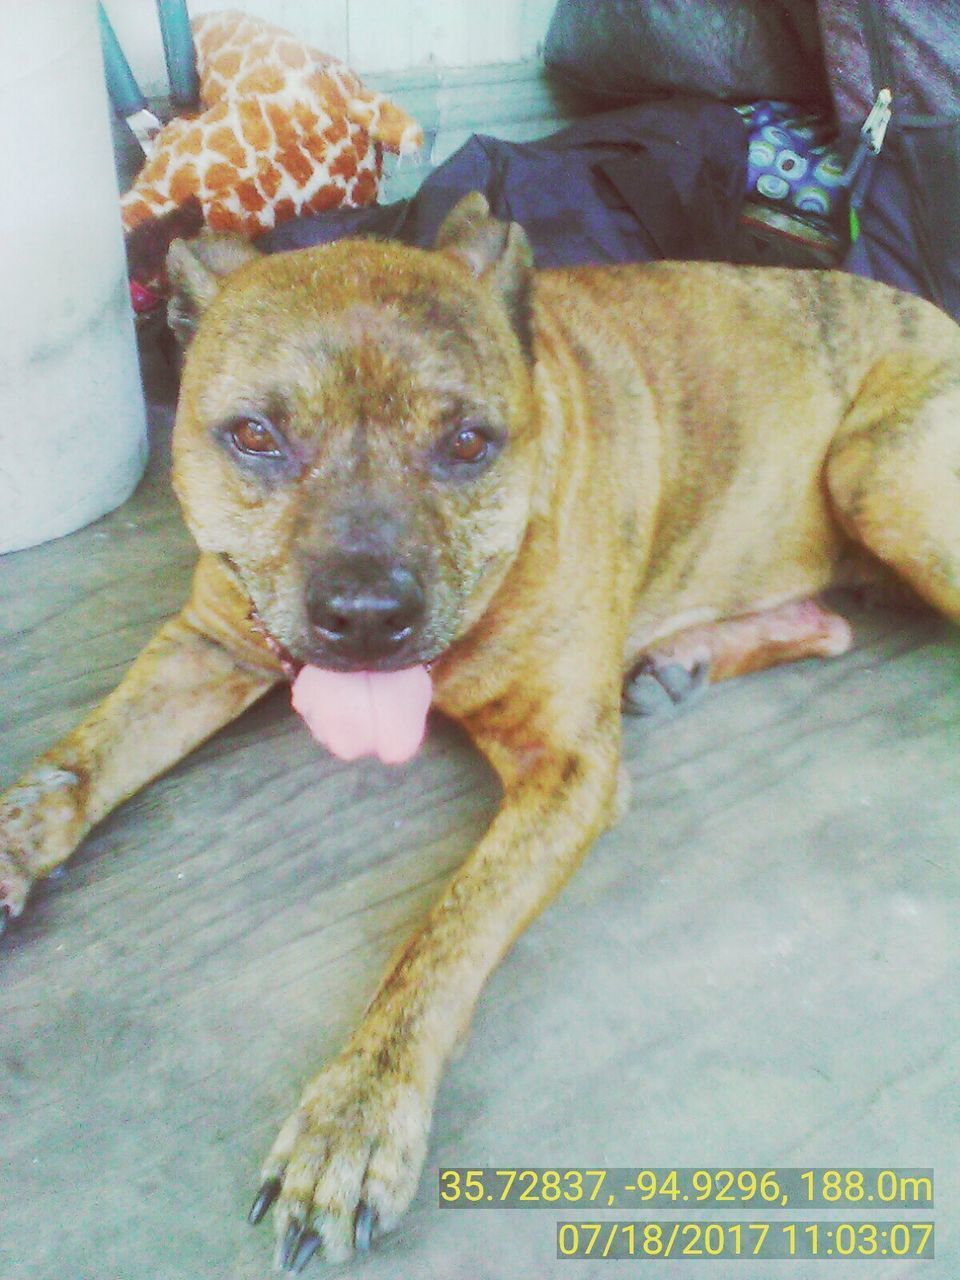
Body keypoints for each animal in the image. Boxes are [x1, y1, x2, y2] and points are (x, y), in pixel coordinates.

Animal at [1, 192, 960, 1269]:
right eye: (252, 434)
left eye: (466, 443)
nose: (365, 614)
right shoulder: (207, 642)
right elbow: (76, 761)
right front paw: (9, 842)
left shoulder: (566, 769)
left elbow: (444, 941)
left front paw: (357, 1118)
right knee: (833, 624)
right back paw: (687, 658)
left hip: (879, 471)